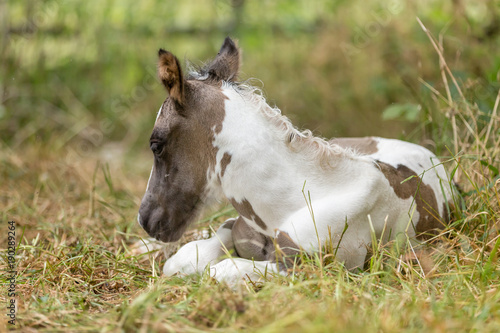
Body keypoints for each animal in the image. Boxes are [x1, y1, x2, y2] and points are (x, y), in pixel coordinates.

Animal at [137, 37, 454, 286]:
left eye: (156, 145)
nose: (145, 219)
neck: (289, 205)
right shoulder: (233, 226)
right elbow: (186, 258)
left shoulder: (318, 267)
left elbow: (220, 271)